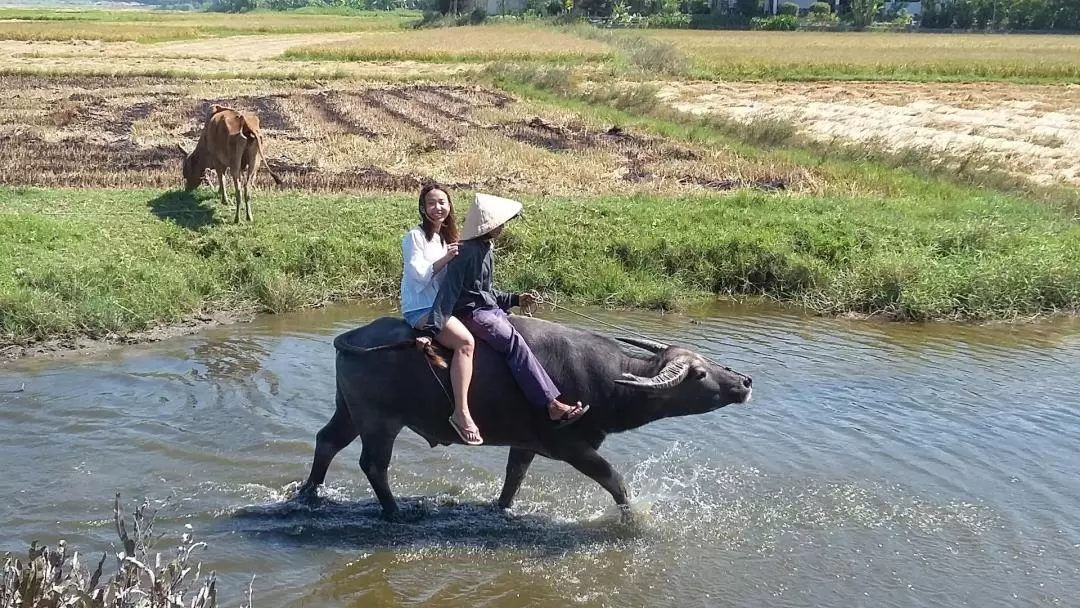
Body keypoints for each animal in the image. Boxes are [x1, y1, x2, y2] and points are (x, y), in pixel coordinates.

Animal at [295, 313, 751, 518]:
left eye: (707, 363)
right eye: (699, 373)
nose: (744, 381)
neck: (605, 381)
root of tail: (351, 337)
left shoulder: (524, 444)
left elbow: (513, 479)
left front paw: (500, 510)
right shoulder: (570, 447)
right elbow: (615, 480)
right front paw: (634, 517)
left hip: (349, 411)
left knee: (327, 441)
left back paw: (308, 494)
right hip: (379, 422)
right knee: (373, 464)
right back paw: (394, 512)